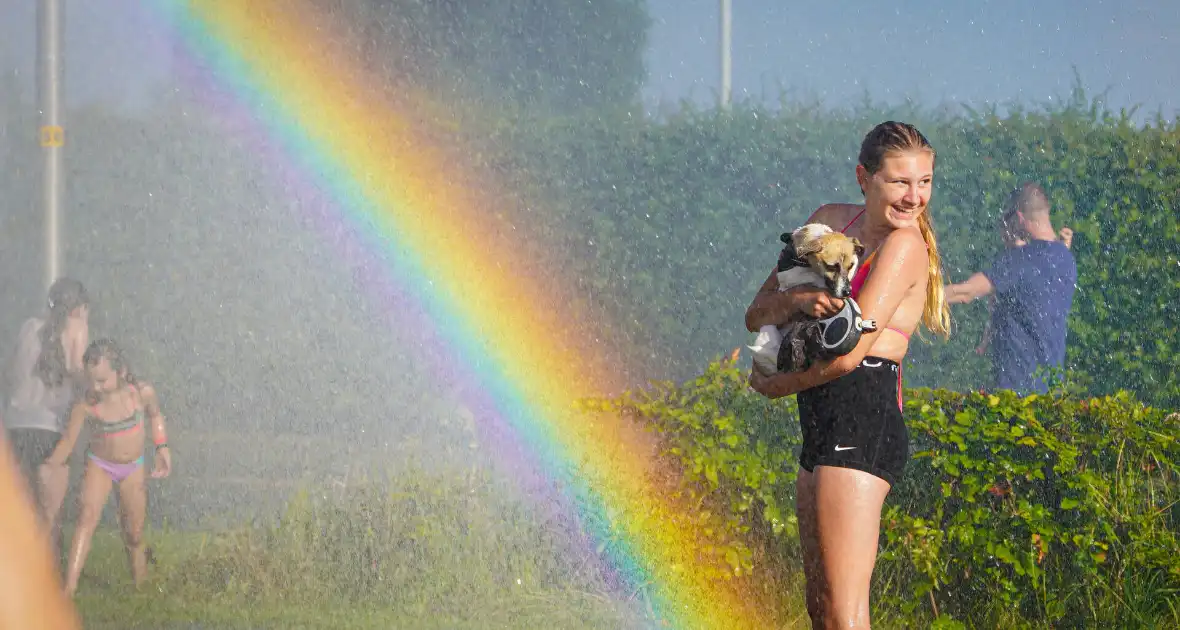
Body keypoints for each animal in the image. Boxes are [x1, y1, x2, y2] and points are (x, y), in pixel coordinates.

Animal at [745, 222, 877, 375]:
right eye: (832, 267)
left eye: (850, 266)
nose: (847, 292)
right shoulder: (789, 276)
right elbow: (810, 277)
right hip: (767, 333)